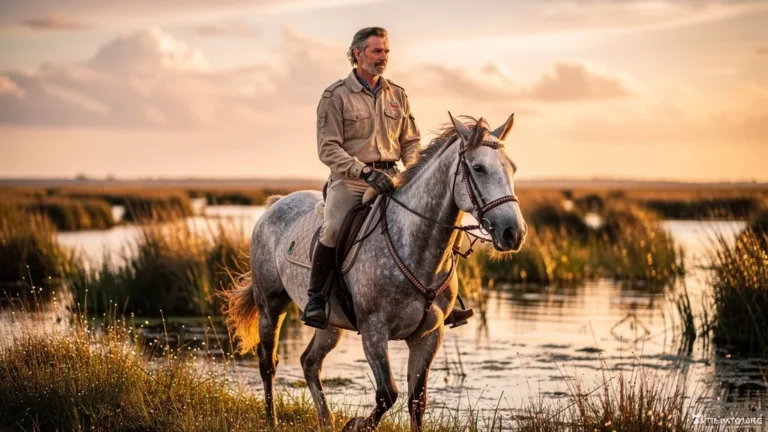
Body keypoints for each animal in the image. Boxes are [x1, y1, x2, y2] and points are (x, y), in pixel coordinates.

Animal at [223, 112, 527, 431]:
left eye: (512, 168)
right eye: (478, 168)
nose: (513, 233)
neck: (417, 250)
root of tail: (275, 203)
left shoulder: (429, 335)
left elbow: (417, 401)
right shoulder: (374, 331)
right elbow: (387, 394)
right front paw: (355, 424)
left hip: (330, 325)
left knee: (309, 362)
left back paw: (326, 418)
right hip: (271, 305)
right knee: (268, 362)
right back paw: (273, 419)